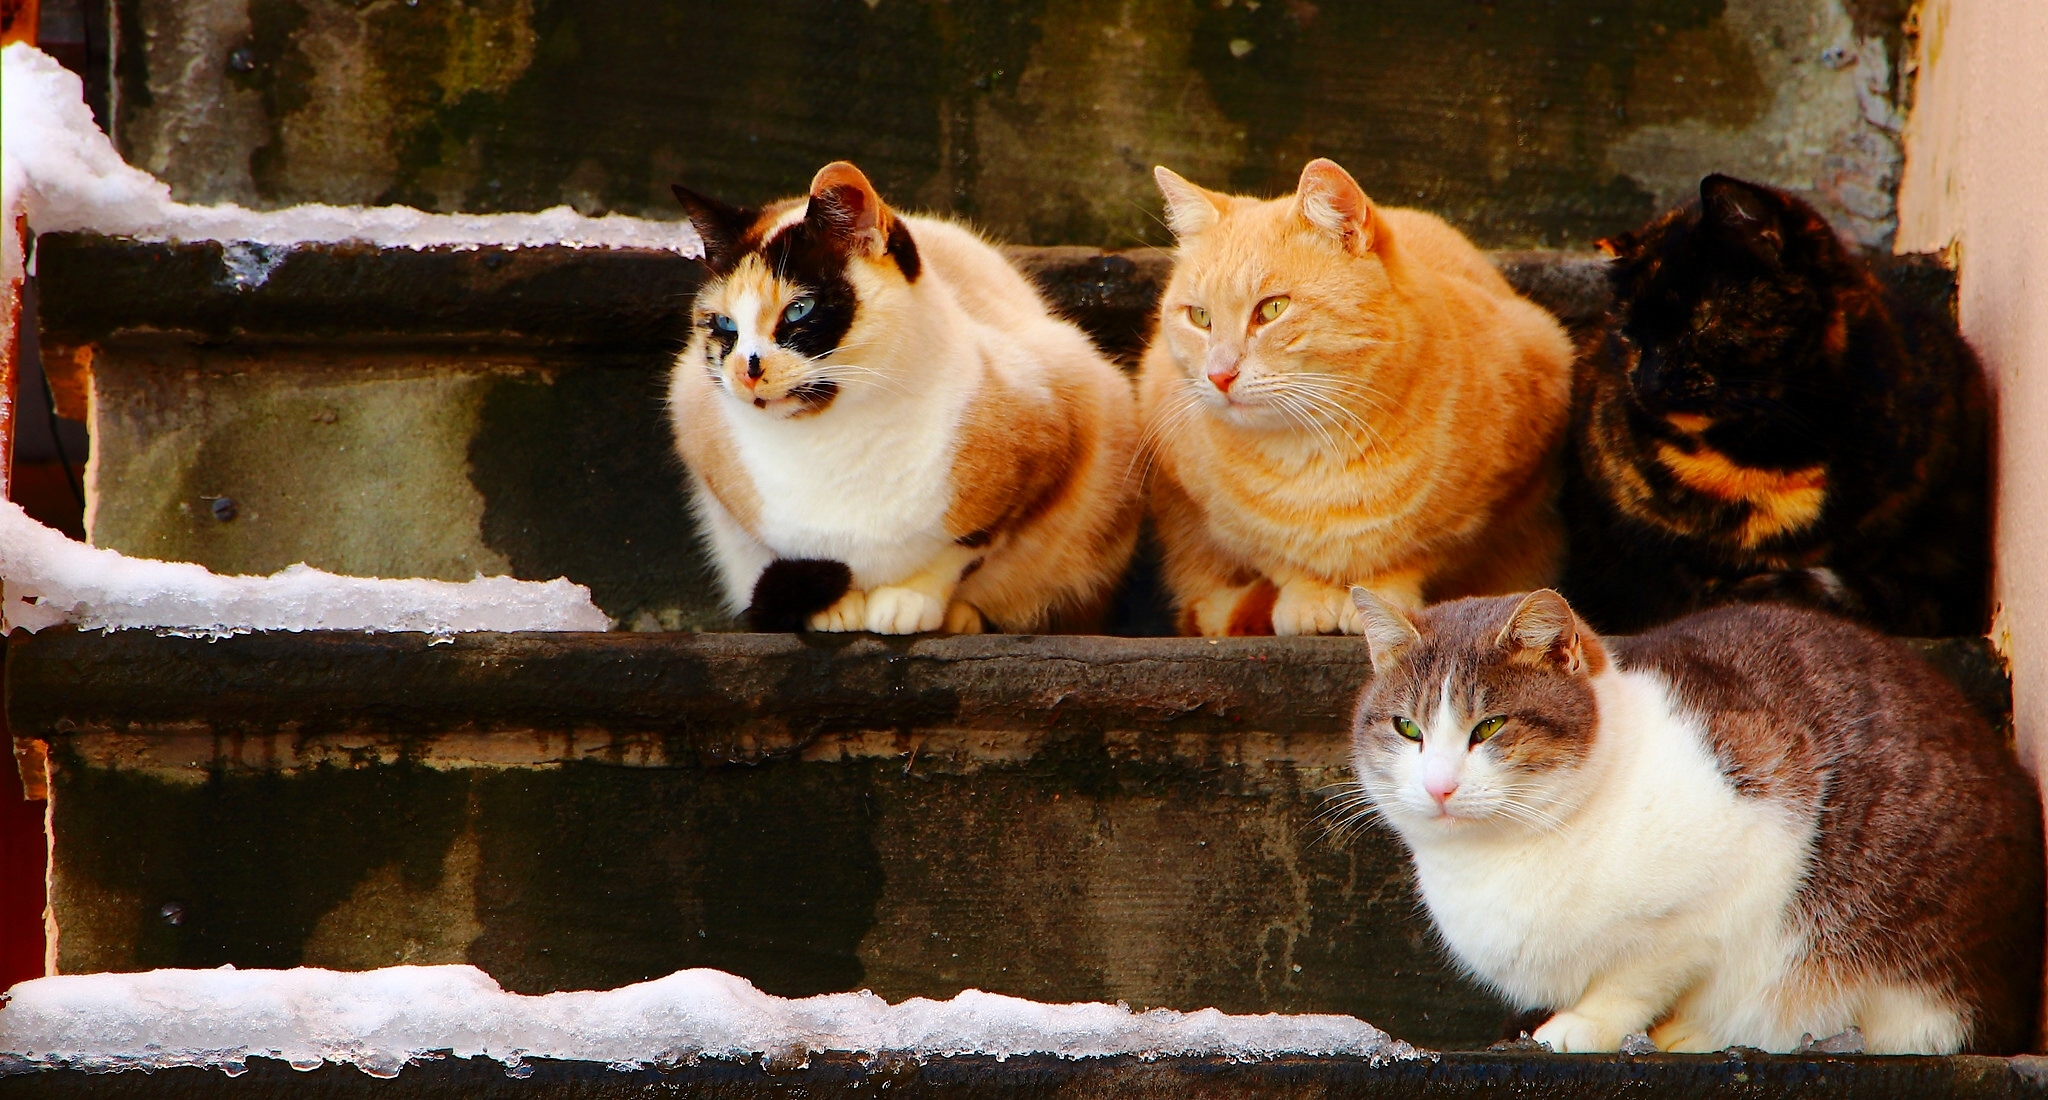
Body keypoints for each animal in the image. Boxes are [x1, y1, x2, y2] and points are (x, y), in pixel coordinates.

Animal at [667, 158, 1138, 630]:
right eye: (724, 324)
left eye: (799, 311)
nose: (745, 372)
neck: (838, 443)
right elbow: (794, 555)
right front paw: (837, 611)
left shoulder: (1045, 453)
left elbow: (959, 553)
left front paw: (906, 604)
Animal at [1138, 156, 1564, 635]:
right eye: (1199, 317)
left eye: (1272, 309)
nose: (1218, 375)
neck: (1316, 451)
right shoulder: (1212, 511)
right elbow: (1277, 558)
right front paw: (1308, 598)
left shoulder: (1488, 506)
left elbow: (1412, 558)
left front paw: (1380, 604)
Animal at [1351, 585, 2039, 1048]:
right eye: (1407, 728)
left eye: (1489, 727)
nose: (1438, 786)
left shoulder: (1746, 847)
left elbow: (1639, 975)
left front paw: (1586, 1024)